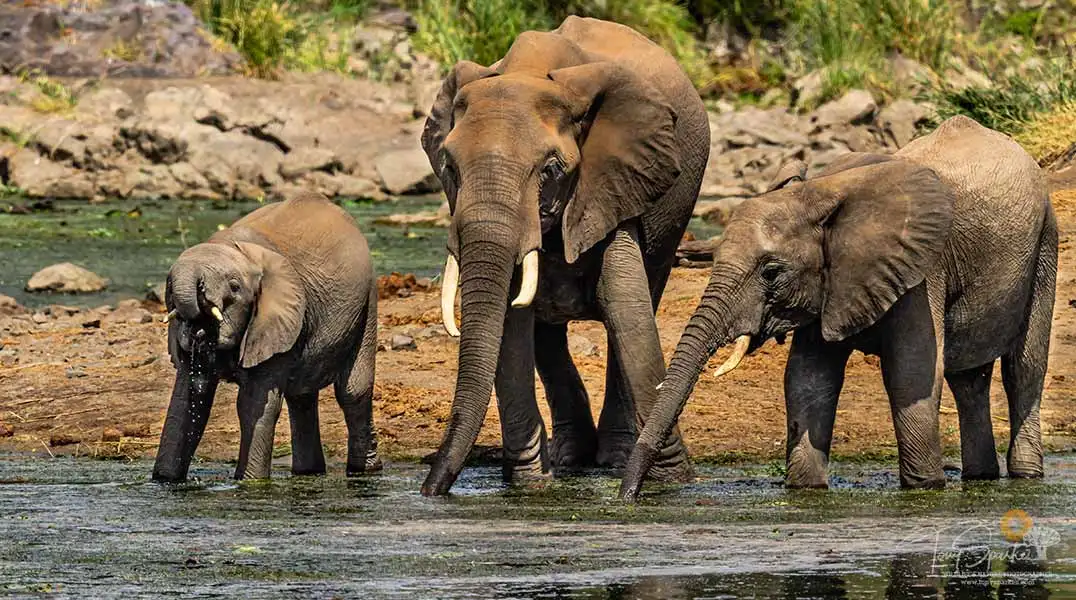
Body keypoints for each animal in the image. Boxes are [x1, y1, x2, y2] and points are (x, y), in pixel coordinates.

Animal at [153, 192, 380, 483]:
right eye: (169, 288)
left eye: (234, 287)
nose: (199, 330)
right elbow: (185, 402)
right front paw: (165, 481)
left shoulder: (278, 323)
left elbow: (253, 403)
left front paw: (251, 483)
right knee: (302, 396)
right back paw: (309, 473)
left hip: (367, 301)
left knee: (353, 392)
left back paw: (364, 472)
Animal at [419, 16, 714, 498]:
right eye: (449, 166)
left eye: (551, 170)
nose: (430, 492)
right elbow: (511, 321)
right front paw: (529, 485)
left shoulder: (612, 177)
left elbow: (627, 308)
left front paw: (673, 482)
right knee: (545, 331)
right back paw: (571, 459)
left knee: (639, 303)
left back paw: (611, 458)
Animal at [619, 116, 1054, 498]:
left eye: (771, 273)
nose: (628, 496)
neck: (823, 192)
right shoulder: (829, 283)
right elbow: (808, 377)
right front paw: (805, 489)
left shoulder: (922, 268)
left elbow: (912, 373)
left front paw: (925, 487)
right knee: (969, 380)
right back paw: (981, 478)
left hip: (1046, 241)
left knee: (1024, 368)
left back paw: (1026, 476)